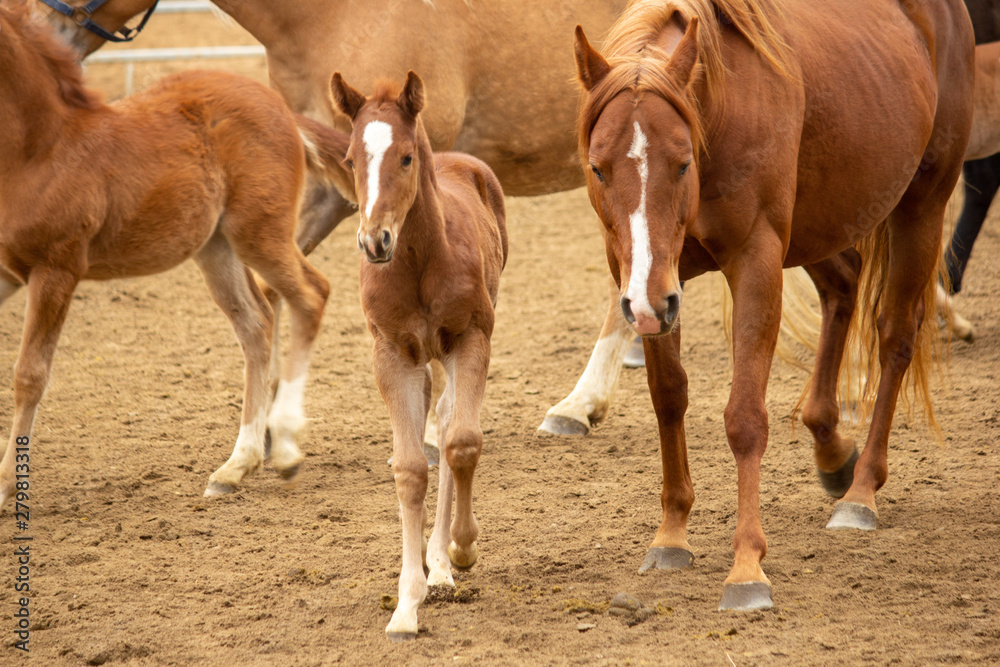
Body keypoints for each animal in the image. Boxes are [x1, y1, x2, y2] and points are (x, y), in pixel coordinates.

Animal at [0, 4, 343, 506]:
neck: (39, 149)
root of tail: (281, 107)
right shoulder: (7, 271)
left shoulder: (56, 268)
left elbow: (29, 376)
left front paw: (6, 485)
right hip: (217, 247)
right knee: (256, 323)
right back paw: (236, 466)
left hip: (259, 234)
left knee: (311, 294)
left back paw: (284, 449)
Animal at [329, 71, 507, 640]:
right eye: (350, 159)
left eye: (406, 157)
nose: (374, 241)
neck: (419, 261)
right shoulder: (391, 355)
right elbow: (409, 469)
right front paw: (406, 604)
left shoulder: (472, 337)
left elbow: (463, 443)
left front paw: (460, 548)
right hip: (422, 358)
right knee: (437, 415)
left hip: (452, 348)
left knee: (450, 423)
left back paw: (445, 562)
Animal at [573, 0, 972, 610]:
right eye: (598, 168)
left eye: (682, 163)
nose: (646, 302)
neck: (720, 112)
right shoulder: (647, 281)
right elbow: (668, 397)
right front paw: (671, 533)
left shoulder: (755, 262)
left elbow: (744, 417)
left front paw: (746, 567)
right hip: (815, 227)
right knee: (843, 286)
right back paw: (830, 445)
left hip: (923, 202)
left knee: (896, 336)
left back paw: (861, 492)